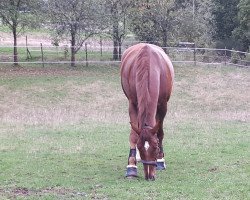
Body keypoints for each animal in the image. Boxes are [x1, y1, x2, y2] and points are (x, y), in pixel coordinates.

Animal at [120, 43, 174, 180]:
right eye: (140, 147)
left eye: (155, 147)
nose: (149, 176)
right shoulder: (133, 104)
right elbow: (134, 135)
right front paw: (131, 166)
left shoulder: (163, 106)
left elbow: (159, 132)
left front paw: (160, 161)